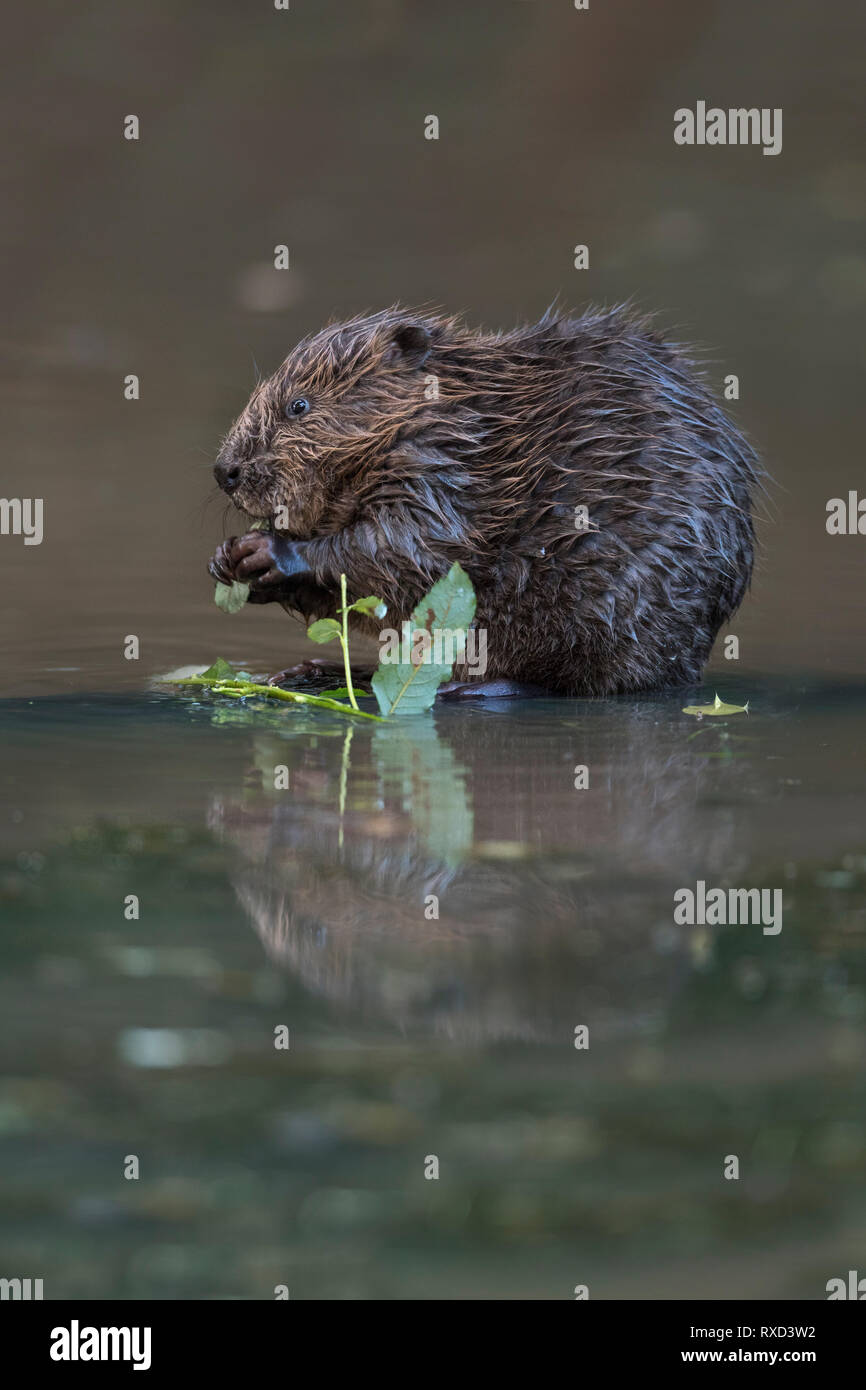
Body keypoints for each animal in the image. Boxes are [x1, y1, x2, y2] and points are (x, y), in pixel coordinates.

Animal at [209, 304, 756, 695]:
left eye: (298, 406)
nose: (224, 471)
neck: (467, 419)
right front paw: (226, 562)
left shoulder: (439, 473)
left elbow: (404, 549)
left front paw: (267, 551)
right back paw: (316, 673)